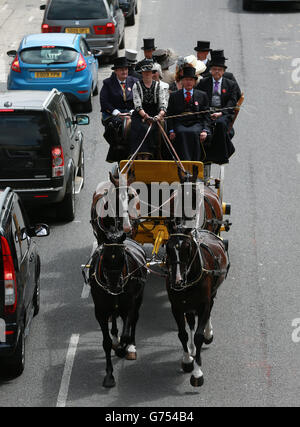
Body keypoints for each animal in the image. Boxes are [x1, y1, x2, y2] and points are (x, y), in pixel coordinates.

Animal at [165, 229, 229, 390]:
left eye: (187, 248)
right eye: (168, 248)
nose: (177, 280)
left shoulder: (203, 304)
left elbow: (199, 336)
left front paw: (197, 373)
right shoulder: (177, 306)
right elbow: (182, 334)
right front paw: (187, 360)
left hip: (212, 293)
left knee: (209, 310)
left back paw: (208, 333)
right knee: (191, 322)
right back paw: (192, 349)